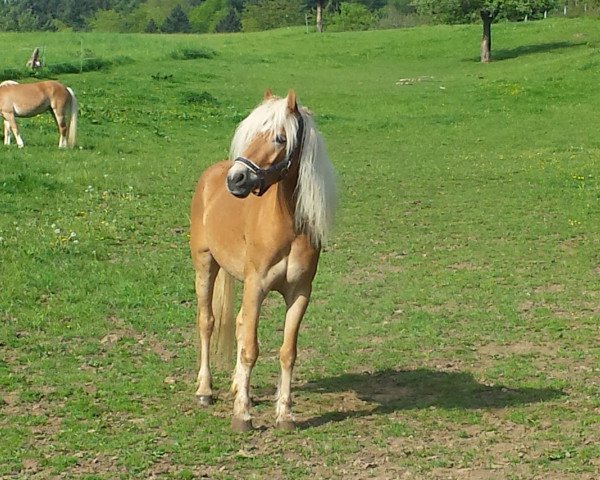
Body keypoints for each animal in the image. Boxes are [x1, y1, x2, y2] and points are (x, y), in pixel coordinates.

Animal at [190, 90, 336, 432]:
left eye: (280, 138)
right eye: (250, 133)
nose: (237, 179)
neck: (287, 226)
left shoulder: (300, 293)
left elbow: (287, 352)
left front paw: (284, 414)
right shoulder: (256, 286)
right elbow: (250, 349)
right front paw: (242, 416)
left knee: (240, 322)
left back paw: (235, 387)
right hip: (205, 266)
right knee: (207, 322)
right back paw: (205, 390)